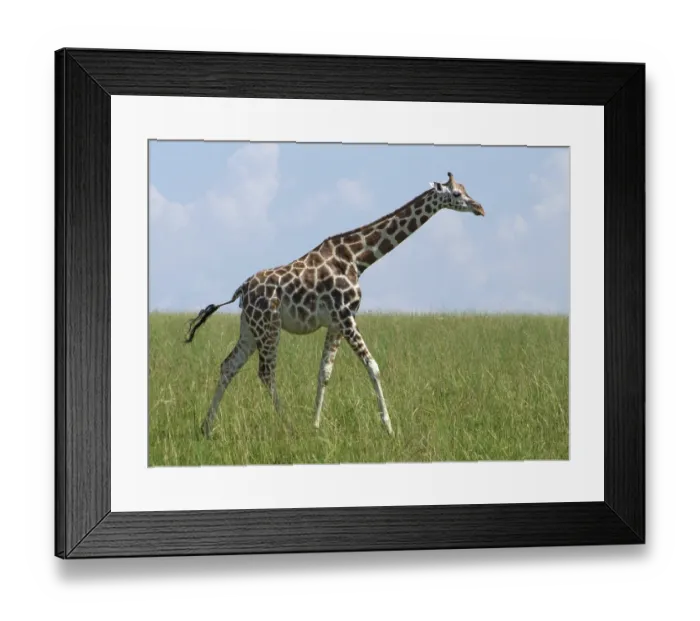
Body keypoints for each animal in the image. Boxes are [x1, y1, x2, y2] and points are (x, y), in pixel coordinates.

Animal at [185, 172, 485, 438]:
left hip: (250, 328)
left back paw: (207, 428)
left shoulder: (335, 322)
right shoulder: (345, 316)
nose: (479, 208)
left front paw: (316, 425)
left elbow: (324, 373)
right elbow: (373, 366)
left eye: (466, 189)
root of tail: (243, 289)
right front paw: (388, 428)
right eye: (456, 194)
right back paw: (287, 425)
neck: (358, 259)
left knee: (228, 366)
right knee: (266, 373)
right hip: (269, 326)